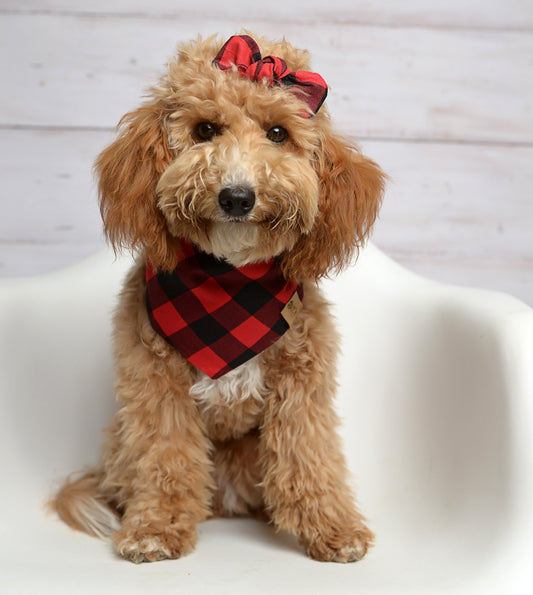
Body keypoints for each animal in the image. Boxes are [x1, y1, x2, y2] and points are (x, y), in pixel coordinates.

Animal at [54, 31, 384, 564]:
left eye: (277, 133)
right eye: (205, 129)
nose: (237, 197)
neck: (229, 284)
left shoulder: (302, 388)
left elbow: (310, 456)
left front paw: (332, 528)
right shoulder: (156, 388)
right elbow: (166, 458)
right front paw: (156, 529)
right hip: (123, 446)